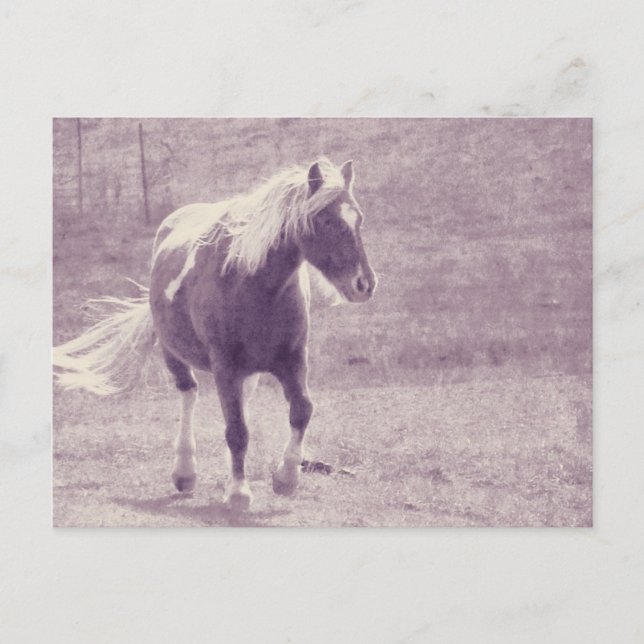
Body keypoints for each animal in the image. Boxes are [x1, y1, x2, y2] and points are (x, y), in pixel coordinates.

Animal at [53, 158, 377, 511]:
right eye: (327, 219)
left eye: (359, 218)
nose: (365, 284)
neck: (253, 284)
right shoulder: (226, 367)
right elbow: (236, 430)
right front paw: (238, 492)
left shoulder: (292, 361)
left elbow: (301, 411)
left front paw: (285, 478)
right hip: (173, 354)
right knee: (188, 393)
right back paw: (185, 472)